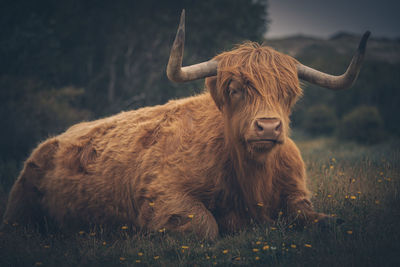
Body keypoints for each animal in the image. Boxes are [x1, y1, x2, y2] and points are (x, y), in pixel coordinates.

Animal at [2, 11, 368, 241]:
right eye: (234, 89)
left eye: (289, 93)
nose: (267, 127)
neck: (253, 181)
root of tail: (51, 141)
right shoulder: (164, 196)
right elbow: (206, 228)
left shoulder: (298, 198)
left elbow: (331, 222)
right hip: (18, 213)